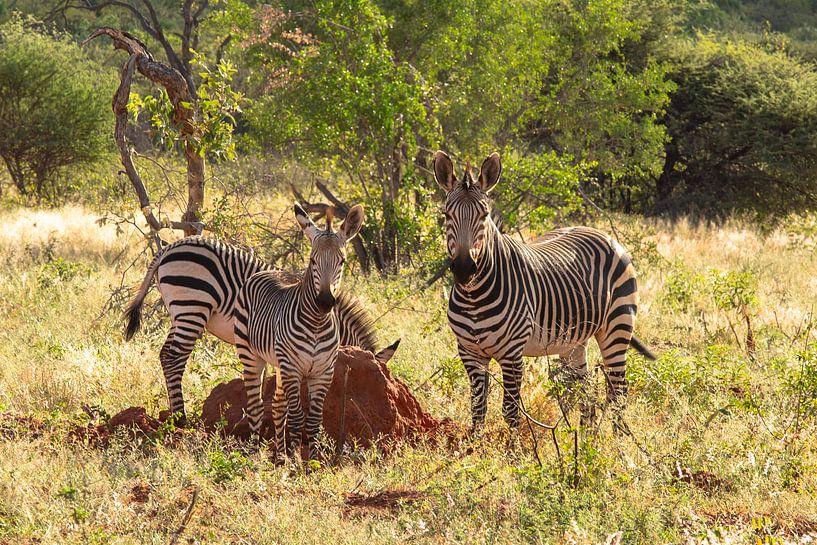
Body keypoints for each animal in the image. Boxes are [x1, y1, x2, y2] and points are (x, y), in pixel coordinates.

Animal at [124, 231, 390, 426]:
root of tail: (167, 249)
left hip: (179, 312)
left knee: (165, 354)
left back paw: (172, 415)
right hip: (193, 305)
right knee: (174, 357)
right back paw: (181, 419)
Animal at [234, 203, 365, 460]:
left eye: (342, 262)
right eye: (312, 260)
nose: (324, 302)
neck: (316, 323)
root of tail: (265, 270)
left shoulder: (323, 372)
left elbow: (313, 420)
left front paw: (312, 461)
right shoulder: (293, 369)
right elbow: (296, 418)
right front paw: (295, 461)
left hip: (278, 364)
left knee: (276, 406)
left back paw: (280, 457)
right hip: (251, 355)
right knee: (255, 406)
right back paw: (255, 454)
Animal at [433, 150, 656, 434]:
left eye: (484, 215)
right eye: (446, 215)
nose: (464, 269)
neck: (475, 298)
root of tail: (599, 231)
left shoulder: (512, 354)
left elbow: (510, 411)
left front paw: (513, 447)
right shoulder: (469, 353)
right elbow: (477, 409)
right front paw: (475, 445)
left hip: (617, 326)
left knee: (618, 390)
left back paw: (616, 440)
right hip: (574, 341)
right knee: (587, 389)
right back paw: (586, 439)